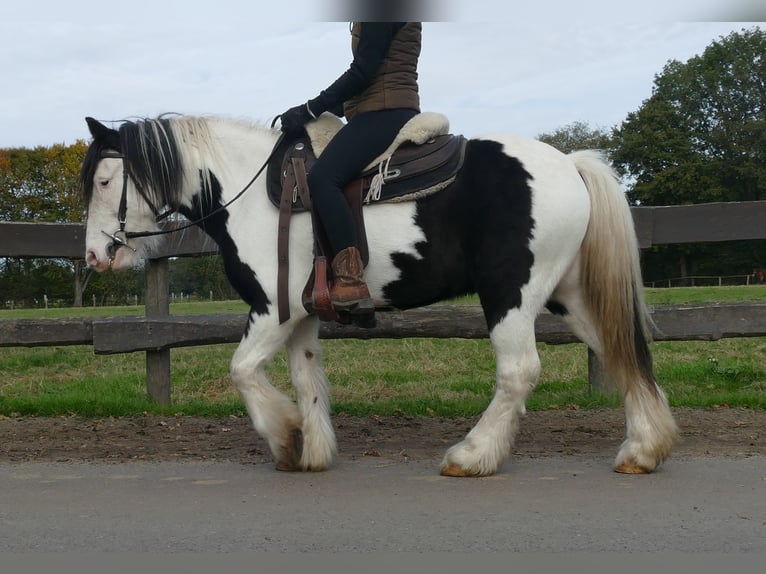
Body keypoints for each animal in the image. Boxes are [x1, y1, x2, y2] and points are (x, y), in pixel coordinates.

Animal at [79, 112, 680, 476]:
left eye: (105, 182)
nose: (95, 257)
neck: (252, 194)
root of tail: (571, 166)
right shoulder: (300, 316)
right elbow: (306, 379)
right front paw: (312, 448)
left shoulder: (272, 310)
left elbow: (242, 371)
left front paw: (285, 435)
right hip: (569, 295)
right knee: (622, 353)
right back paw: (644, 450)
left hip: (511, 294)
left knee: (520, 372)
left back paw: (472, 455)